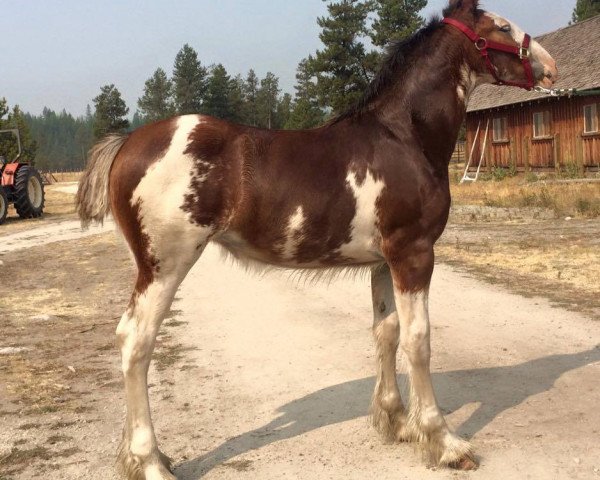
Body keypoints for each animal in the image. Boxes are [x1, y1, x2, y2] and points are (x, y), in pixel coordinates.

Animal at [76, 1, 556, 478]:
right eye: (502, 26)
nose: (550, 67)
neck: (405, 137)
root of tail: (127, 143)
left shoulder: (384, 261)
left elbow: (387, 332)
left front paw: (397, 423)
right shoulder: (414, 254)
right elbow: (418, 340)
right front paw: (444, 442)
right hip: (165, 265)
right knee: (136, 342)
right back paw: (149, 461)